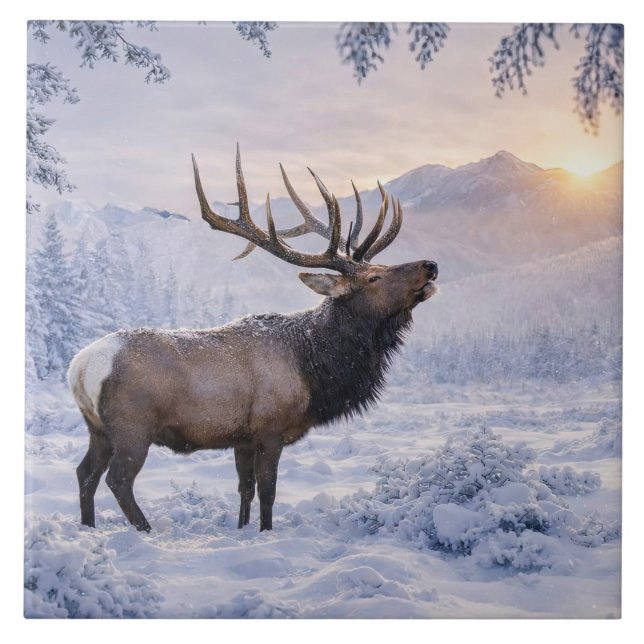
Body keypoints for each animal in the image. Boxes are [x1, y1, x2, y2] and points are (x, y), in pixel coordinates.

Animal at [67, 146, 438, 533]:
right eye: (373, 278)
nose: (430, 266)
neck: (314, 368)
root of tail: (79, 368)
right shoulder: (270, 428)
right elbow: (268, 491)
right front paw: (265, 531)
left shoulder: (241, 437)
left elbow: (244, 488)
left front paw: (243, 528)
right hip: (132, 426)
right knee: (118, 480)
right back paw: (145, 529)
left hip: (98, 429)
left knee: (84, 473)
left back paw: (88, 527)